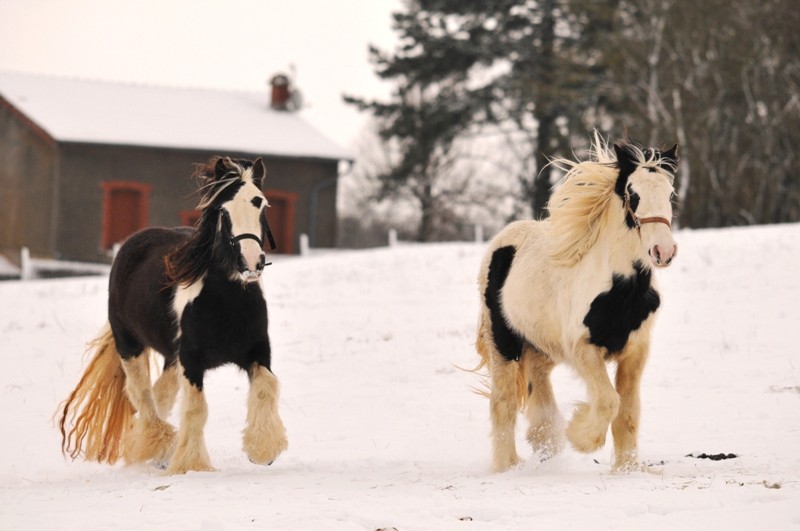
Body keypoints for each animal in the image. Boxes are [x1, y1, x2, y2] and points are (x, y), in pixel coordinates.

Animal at [61, 157, 288, 474]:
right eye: (223, 210)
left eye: (262, 205)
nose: (251, 262)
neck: (225, 301)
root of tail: (132, 242)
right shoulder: (191, 360)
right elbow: (196, 408)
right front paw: (192, 464)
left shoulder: (257, 350)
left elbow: (266, 387)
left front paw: (262, 449)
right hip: (129, 345)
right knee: (141, 395)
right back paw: (158, 445)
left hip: (171, 357)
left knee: (160, 395)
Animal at [478, 135, 680, 472]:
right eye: (633, 193)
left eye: (670, 193)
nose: (662, 251)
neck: (622, 291)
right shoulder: (583, 350)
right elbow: (609, 402)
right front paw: (581, 436)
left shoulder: (635, 352)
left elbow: (628, 412)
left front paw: (626, 470)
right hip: (504, 346)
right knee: (502, 404)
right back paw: (507, 467)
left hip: (541, 347)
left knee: (538, 385)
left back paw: (545, 442)